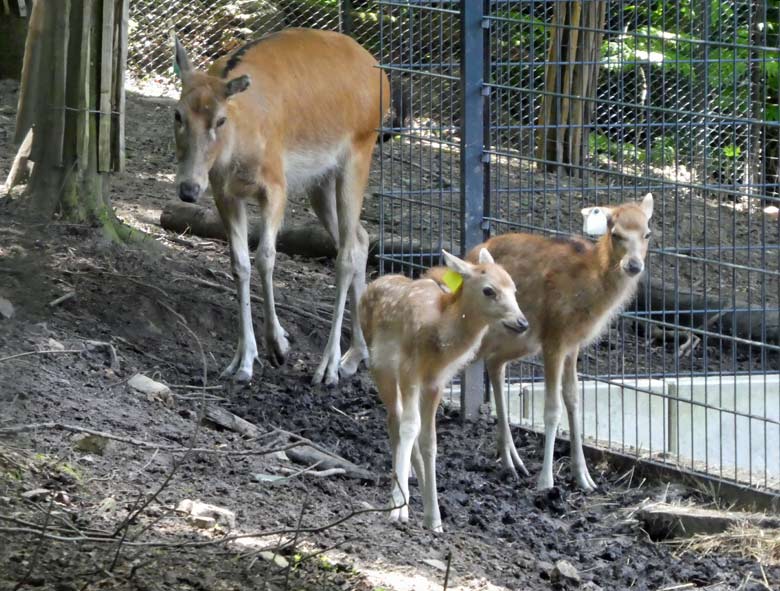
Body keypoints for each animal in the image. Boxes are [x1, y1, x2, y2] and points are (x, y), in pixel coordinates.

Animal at [171, 30, 390, 386]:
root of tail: (381, 75)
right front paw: (242, 361)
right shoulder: (224, 192)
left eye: (220, 119)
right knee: (359, 239)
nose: (188, 189)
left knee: (345, 255)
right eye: (178, 114)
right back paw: (355, 356)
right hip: (320, 181)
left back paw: (328, 366)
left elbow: (265, 257)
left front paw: (278, 346)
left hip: (359, 151)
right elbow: (239, 263)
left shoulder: (276, 185)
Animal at [362, 250, 528, 532]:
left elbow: (430, 440)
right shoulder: (408, 369)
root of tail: (372, 283)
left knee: (402, 423)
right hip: (379, 367)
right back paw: (401, 496)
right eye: (489, 290)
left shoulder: (435, 382)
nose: (522, 322)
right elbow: (409, 427)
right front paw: (397, 510)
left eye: (515, 289)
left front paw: (434, 519)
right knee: (395, 421)